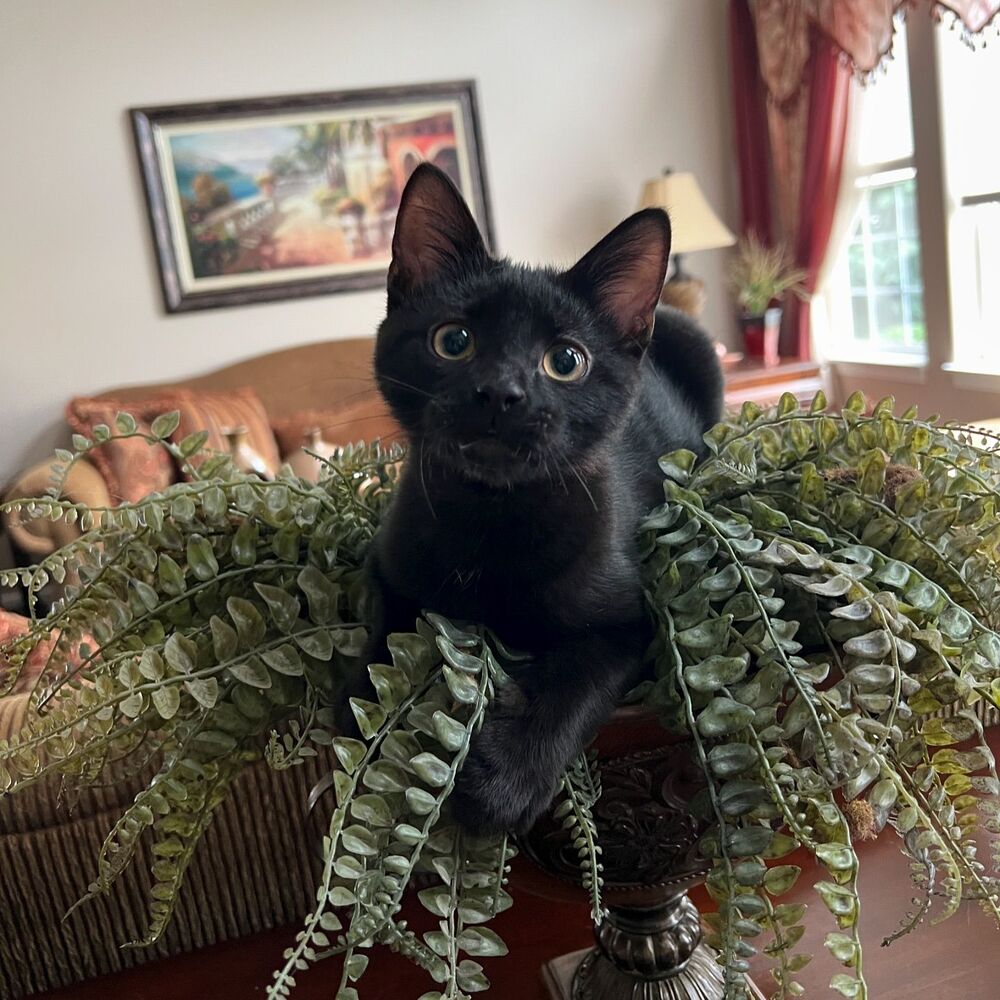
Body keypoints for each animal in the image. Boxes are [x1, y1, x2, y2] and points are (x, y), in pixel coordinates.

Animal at [350, 166, 720, 836]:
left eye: (565, 361)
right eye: (454, 340)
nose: (501, 392)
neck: (492, 518)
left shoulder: (631, 619)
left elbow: (577, 681)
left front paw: (507, 781)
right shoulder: (389, 563)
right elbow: (386, 639)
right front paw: (360, 722)